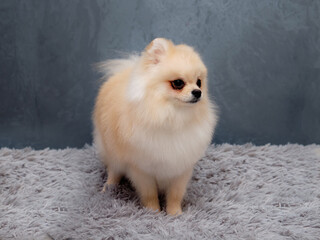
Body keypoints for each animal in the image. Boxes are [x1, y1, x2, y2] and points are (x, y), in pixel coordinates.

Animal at [92, 38, 218, 216]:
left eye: (199, 82)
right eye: (178, 83)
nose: (197, 92)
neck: (172, 116)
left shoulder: (181, 168)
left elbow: (175, 194)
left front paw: (175, 213)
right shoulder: (141, 169)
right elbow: (149, 194)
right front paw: (153, 212)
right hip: (112, 152)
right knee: (114, 170)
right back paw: (109, 187)